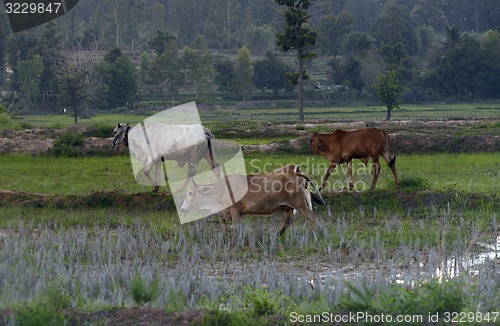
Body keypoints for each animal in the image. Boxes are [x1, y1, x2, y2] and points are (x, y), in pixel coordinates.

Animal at [182, 169, 322, 236]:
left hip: (300, 204)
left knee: (314, 219)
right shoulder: (226, 211)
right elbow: (223, 222)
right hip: (285, 207)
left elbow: (235, 226)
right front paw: (226, 235)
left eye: (190, 193)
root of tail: (293, 172)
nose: (183, 208)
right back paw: (276, 235)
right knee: (287, 222)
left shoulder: (235, 210)